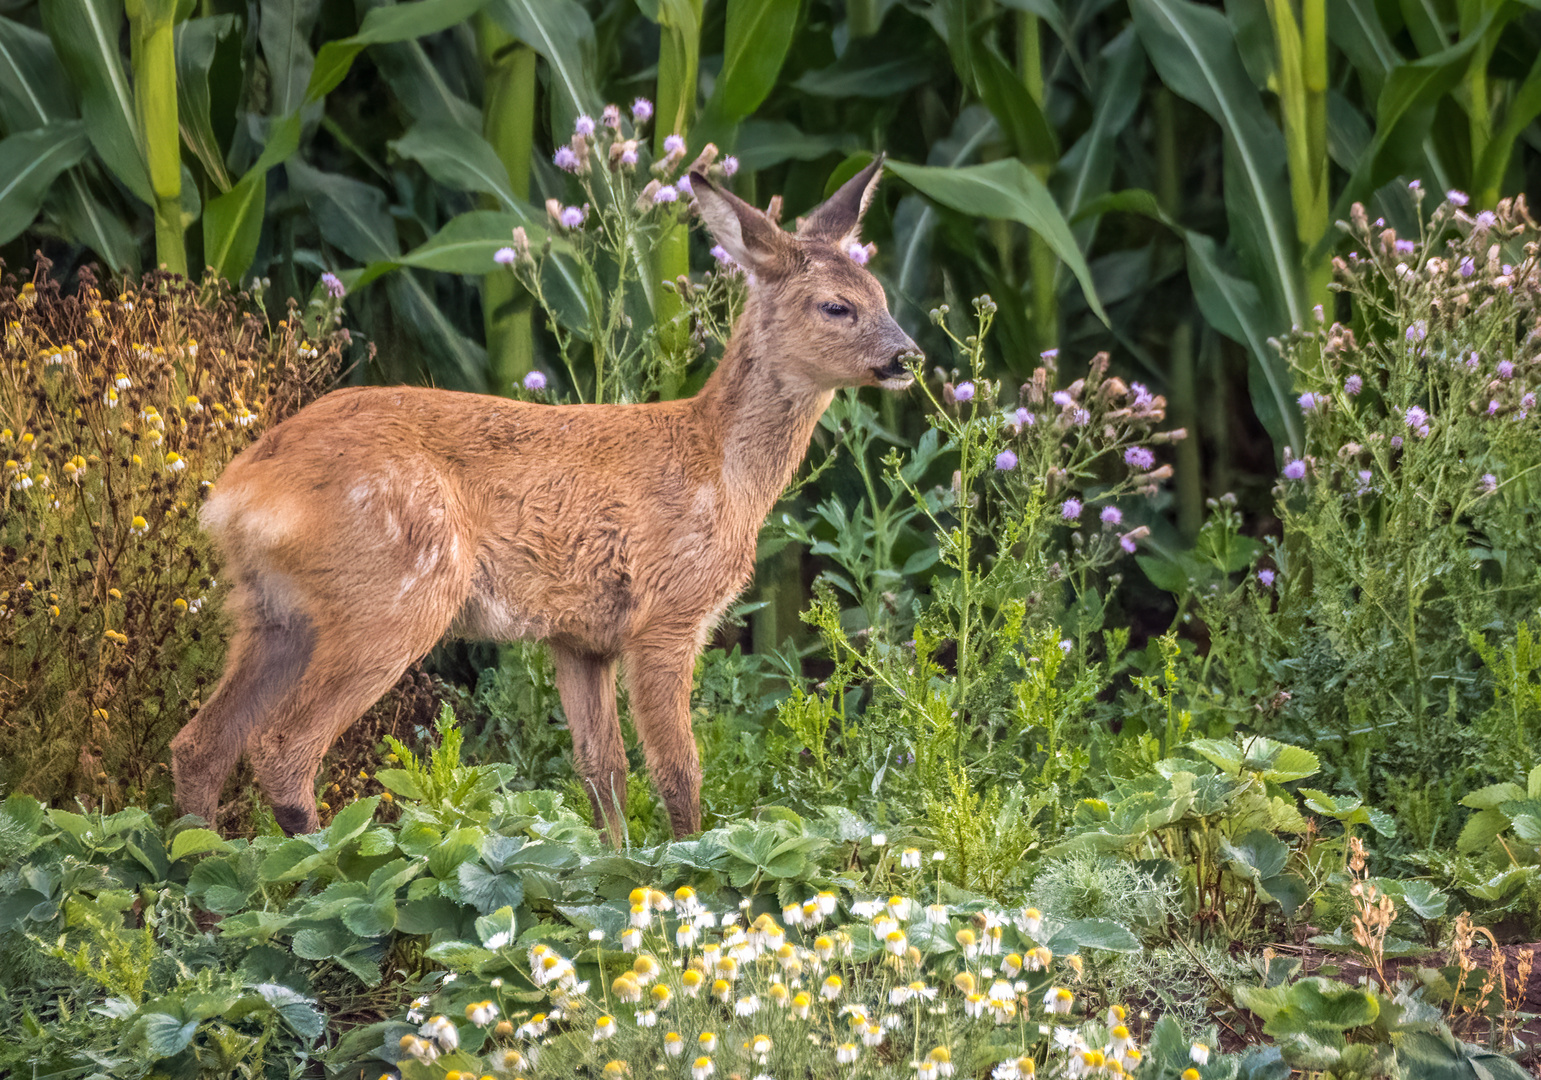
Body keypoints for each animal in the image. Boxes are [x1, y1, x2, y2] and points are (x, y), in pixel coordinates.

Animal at [168, 155, 912, 838]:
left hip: (274, 612)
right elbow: (678, 770)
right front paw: (690, 863)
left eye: (882, 295)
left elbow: (602, 771)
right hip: (394, 592)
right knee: (282, 747)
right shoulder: (668, 612)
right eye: (836, 305)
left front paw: (618, 865)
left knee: (198, 744)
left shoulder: (579, 636)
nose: (908, 356)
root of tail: (239, 493)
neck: (721, 471)